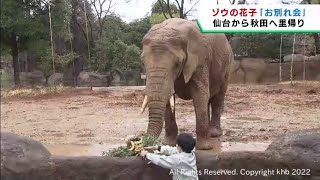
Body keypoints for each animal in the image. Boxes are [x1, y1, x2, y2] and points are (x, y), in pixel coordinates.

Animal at [139, 18, 234, 150]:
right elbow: (168, 99)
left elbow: (200, 94)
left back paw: (214, 133)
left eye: (178, 63)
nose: (142, 139)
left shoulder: (201, 59)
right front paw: (168, 144)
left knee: (218, 98)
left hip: (227, 67)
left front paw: (204, 148)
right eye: (143, 61)